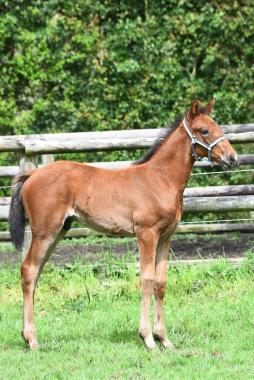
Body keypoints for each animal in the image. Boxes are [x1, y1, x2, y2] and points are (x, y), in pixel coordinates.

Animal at [8, 98, 238, 350]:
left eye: (218, 126)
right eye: (204, 130)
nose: (232, 158)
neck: (161, 179)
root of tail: (31, 174)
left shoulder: (166, 236)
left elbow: (161, 283)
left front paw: (164, 339)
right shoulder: (146, 234)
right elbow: (146, 279)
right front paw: (148, 339)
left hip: (59, 231)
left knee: (36, 272)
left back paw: (26, 335)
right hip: (44, 232)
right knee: (29, 270)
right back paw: (32, 339)